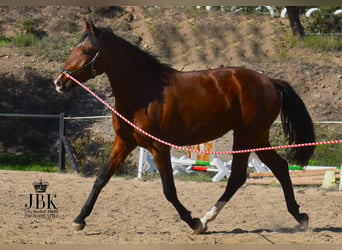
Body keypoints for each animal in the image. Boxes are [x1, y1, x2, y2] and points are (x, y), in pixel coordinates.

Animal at [54, 20, 316, 234]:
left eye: (86, 50)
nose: (60, 82)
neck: (143, 92)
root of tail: (271, 81)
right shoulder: (124, 142)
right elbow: (101, 179)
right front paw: (79, 219)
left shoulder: (159, 148)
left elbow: (169, 190)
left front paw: (193, 222)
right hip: (257, 137)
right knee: (280, 168)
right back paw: (300, 217)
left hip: (245, 136)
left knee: (238, 177)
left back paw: (207, 218)